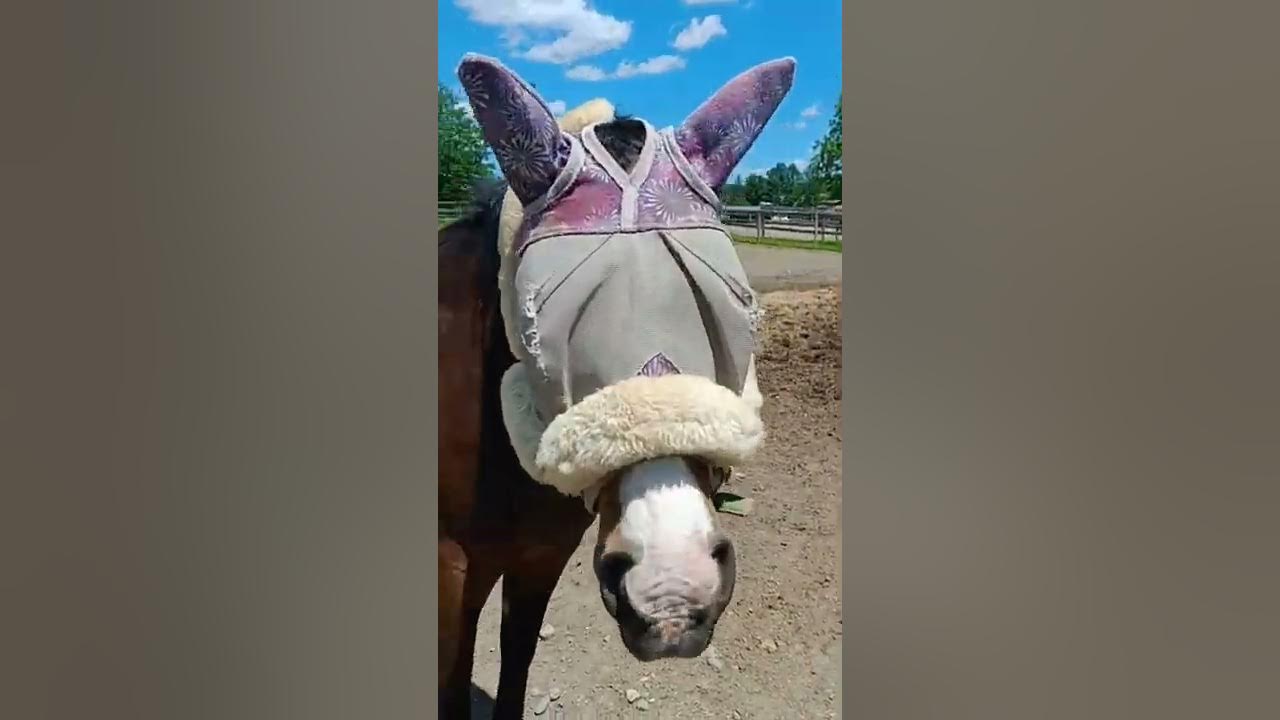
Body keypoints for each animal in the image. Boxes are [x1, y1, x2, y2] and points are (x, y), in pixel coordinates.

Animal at [440, 55, 796, 719]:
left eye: (741, 309)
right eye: (538, 326)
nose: (673, 590)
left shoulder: (538, 560)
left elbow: (515, 669)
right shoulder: (450, 572)